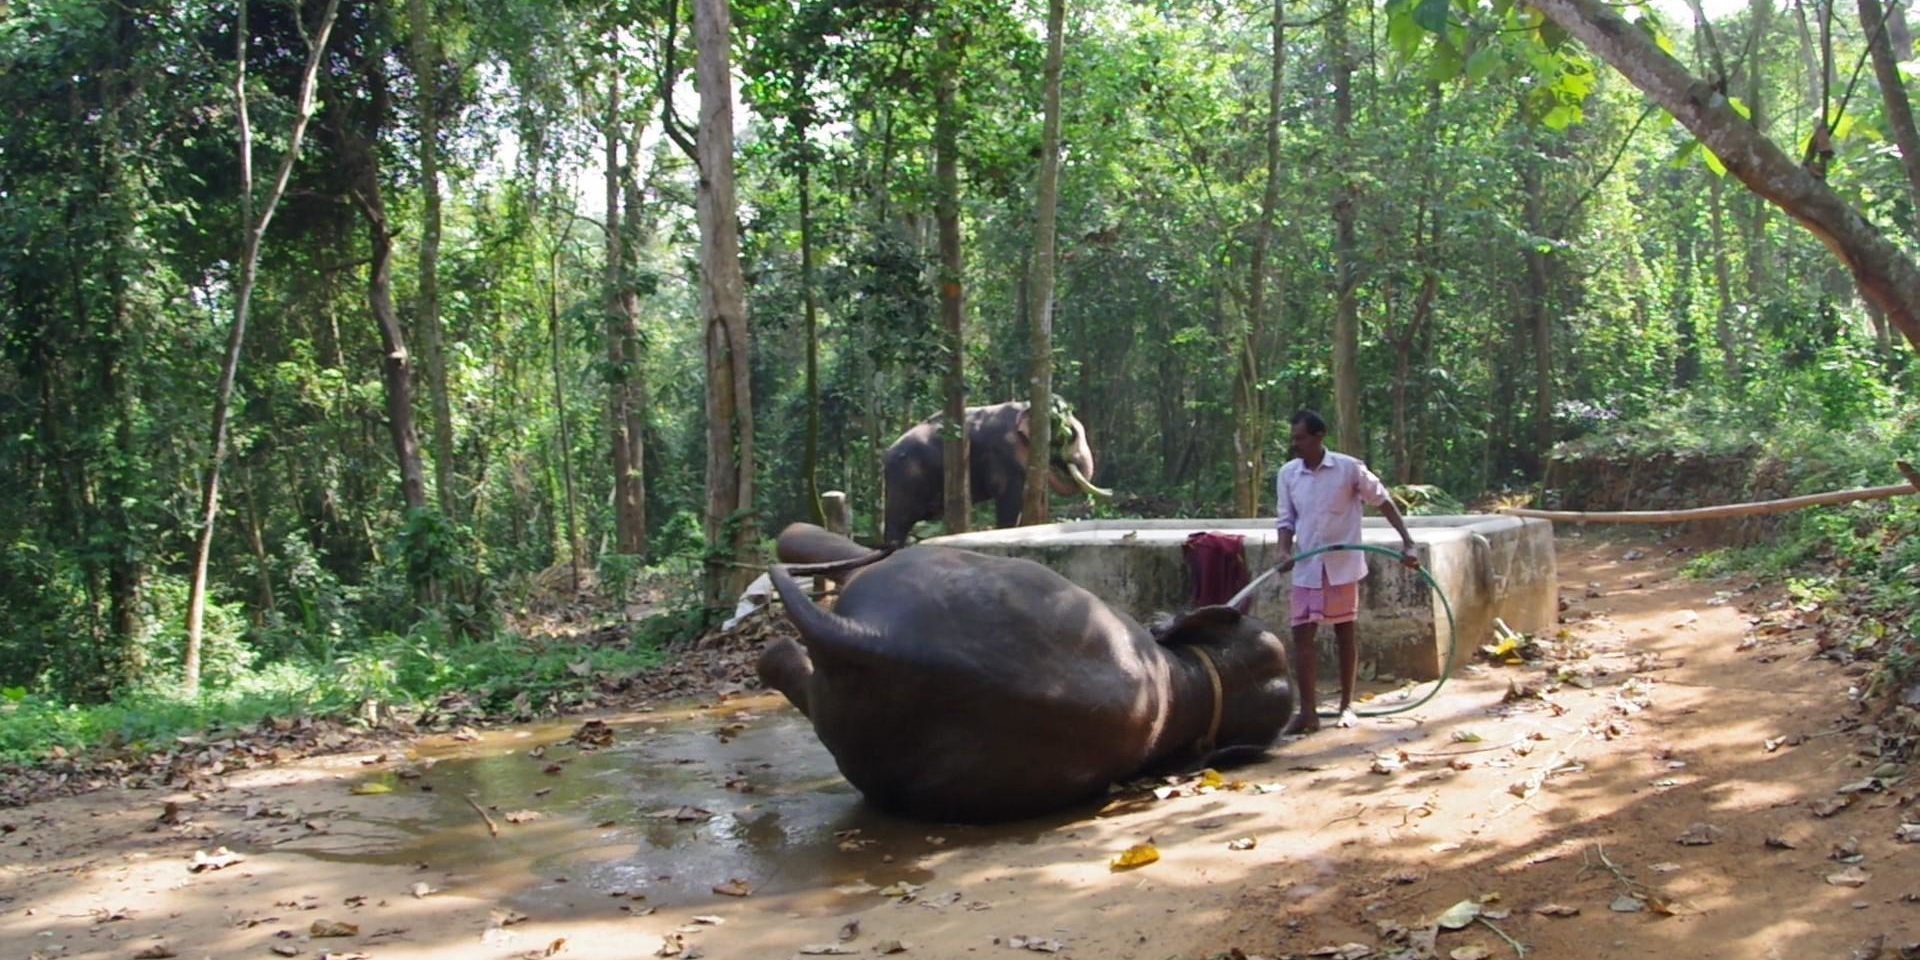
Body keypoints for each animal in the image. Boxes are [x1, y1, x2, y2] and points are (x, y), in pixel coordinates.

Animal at [883, 397, 1113, 549]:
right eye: (1070, 435)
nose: (1111, 492)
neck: (1026, 408)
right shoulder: (1004, 454)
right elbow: (1009, 498)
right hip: (903, 479)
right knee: (897, 524)